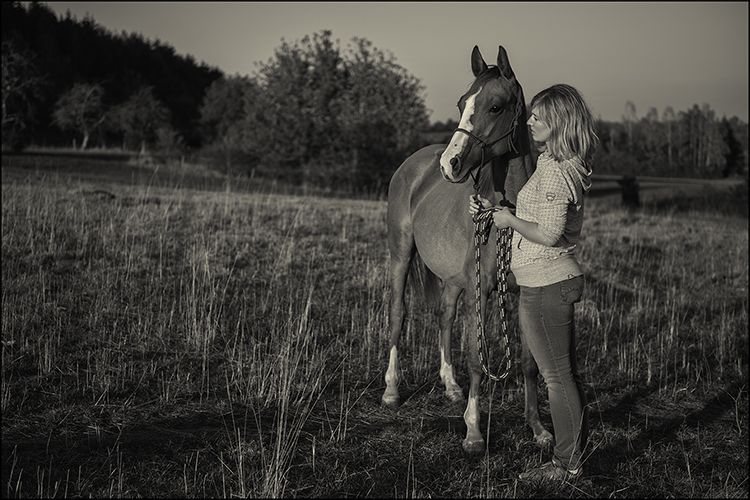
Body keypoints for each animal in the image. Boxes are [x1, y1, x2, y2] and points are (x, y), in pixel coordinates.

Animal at [383, 45, 554, 454]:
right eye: (462, 103)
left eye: (495, 106)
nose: (451, 164)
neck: (508, 213)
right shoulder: (481, 291)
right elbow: (478, 359)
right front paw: (474, 431)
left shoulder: (524, 291)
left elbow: (529, 361)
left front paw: (537, 427)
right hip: (401, 254)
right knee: (398, 314)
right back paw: (392, 390)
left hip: (453, 278)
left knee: (444, 315)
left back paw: (450, 385)